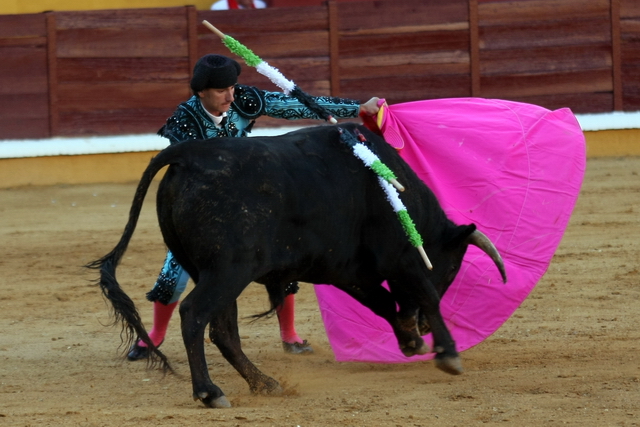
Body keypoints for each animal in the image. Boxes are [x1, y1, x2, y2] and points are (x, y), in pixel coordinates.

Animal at [89, 123, 504, 408]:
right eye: (450, 270)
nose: (422, 328)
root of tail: (187, 156)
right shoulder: (400, 258)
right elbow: (426, 295)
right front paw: (446, 353)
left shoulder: (346, 269)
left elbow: (383, 302)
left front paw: (411, 339)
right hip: (229, 271)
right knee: (194, 314)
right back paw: (210, 392)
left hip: (214, 272)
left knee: (222, 330)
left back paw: (264, 383)